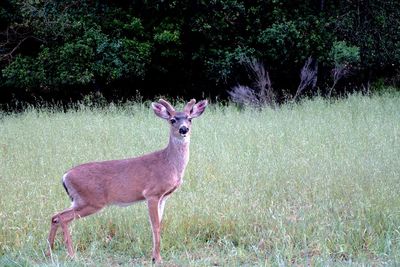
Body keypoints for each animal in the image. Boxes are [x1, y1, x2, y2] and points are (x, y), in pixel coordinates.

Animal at [47, 98, 208, 264]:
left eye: (189, 119)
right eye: (172, 120)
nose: (184, 129)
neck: (169, 163)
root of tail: (65, 176)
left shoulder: (163, 197)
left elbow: (159, 224)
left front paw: (154, 256)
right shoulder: (152, 193)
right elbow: (155, 226)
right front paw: (157, 258)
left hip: (80, 201)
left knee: (55, 216)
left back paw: (49, 252)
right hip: (90, 200)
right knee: (62, 218)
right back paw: (71, 255)